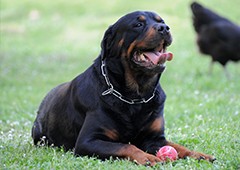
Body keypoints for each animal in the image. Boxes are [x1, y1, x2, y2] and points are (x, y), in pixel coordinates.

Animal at [32, 10, 216, 166]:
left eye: (161, 21)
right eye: (138, 24)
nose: (164, 28)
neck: (136, 95)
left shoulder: (155, 138)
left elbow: (178, 146)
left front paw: (198, 154)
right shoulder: (88, 141)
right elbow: (125, 145)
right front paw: (147, 157)